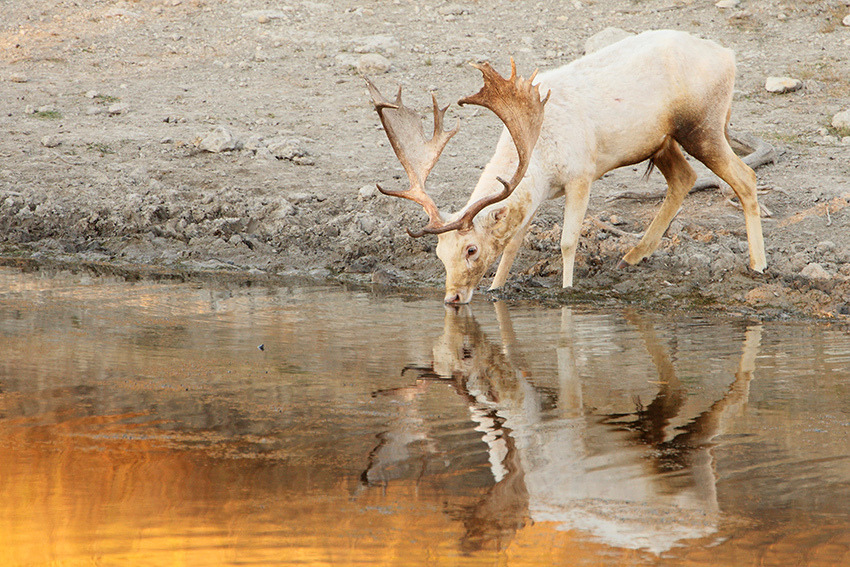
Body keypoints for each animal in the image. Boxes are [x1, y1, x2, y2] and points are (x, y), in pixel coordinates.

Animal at [368, 30, 764, 306]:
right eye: (438, 253)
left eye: (471, 250)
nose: (452, 298)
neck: (540, 154)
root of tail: (728, 55)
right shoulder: (538, 193)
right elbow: (513, 244)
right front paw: (496, 288)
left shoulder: (581, 173)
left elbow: (568, 241)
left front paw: (567, 289)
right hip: (661, 139)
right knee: (685, 177)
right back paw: (632, 256)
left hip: (703, 124)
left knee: (745, 177)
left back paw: (758, 264)